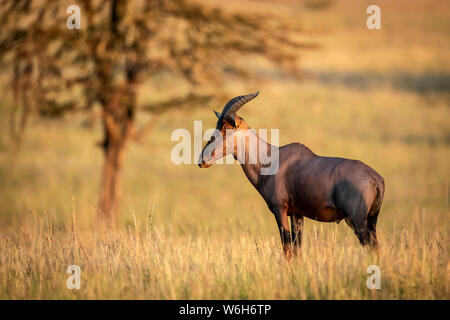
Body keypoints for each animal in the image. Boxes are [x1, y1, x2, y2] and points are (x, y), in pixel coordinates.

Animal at [199, 91, 384, 258]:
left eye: (226, 127)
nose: (202, 160)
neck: (272, 158)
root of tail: (375, 179)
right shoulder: (297, 214)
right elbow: (297, 250)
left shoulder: (280, 210)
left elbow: (287, 248)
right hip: (371, 221)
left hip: (357, 221)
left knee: (371, 247)